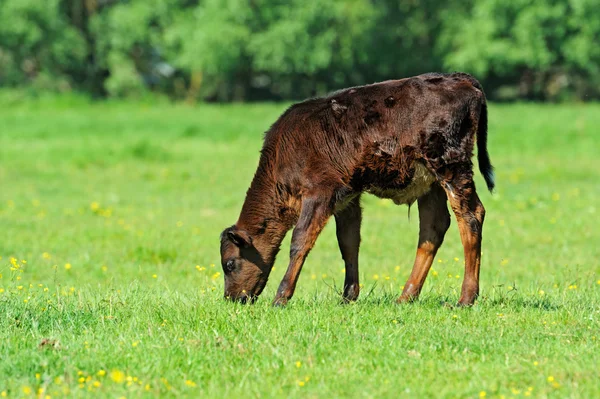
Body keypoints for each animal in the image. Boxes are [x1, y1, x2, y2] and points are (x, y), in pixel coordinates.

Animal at [218, 73, 494, 308]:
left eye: (229, 264)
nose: (232, 299)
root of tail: (459, 78)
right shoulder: (346, 197)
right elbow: (348, 242)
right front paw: (348, 296)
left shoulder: (319, 193)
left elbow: (300, 241)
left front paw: (281, 297)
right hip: (430, 181)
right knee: (432, 226)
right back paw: (406, 296)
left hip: (451, 166)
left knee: (470, 215)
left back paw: (465, 298)